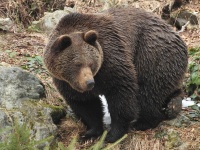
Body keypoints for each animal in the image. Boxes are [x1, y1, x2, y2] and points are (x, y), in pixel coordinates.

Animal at [43, 7, 188, 143]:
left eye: (91, 63)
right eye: (77, 64)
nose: (90, 83)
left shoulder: (111, 58)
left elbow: (120, 93)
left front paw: (113, 134)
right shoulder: (67, 82)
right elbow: (86, 104)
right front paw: (89, 134)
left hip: (153, 53)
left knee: (149, 91)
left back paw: (145, 122)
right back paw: (173, 103)